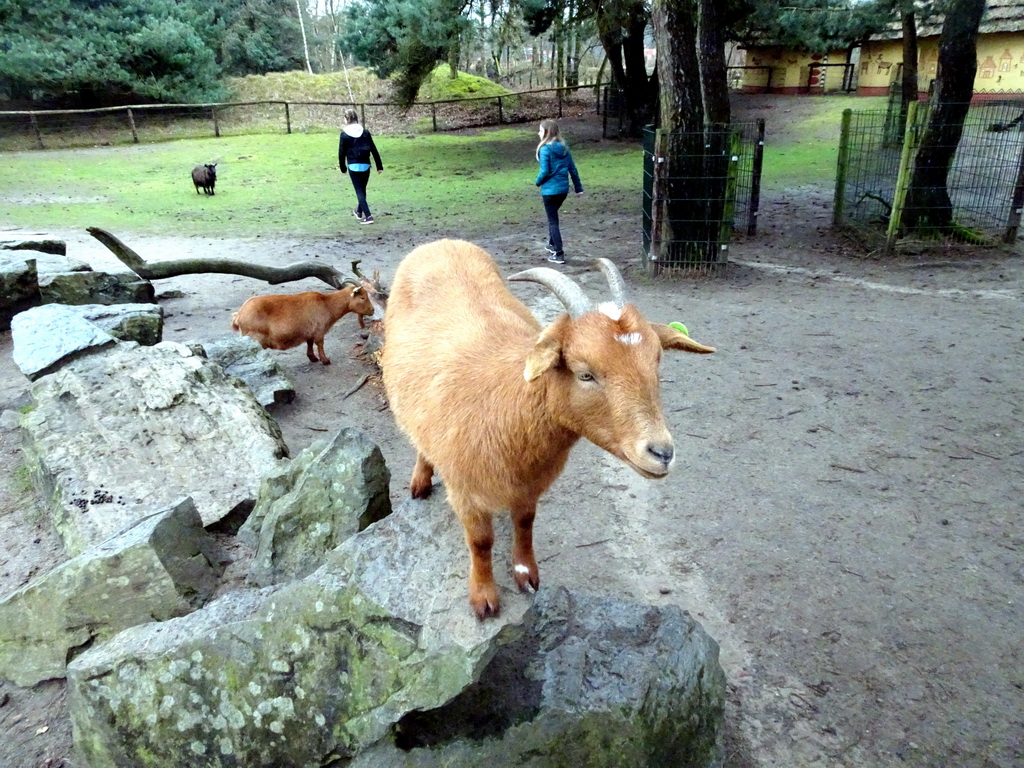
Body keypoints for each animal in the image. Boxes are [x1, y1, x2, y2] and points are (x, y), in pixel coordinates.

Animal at [230, 286, 374, 366]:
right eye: (362, 297)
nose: (372, 310)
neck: (327, 304)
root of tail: (239, 315)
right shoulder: (319, 330)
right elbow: (320, 344)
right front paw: (325, 360)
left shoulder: (310, 330)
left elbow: (309, 343)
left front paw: (313, 358)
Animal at [380, 240, 716, 618]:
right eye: (585, 373)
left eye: (657, 363)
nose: (661, 453)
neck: (508, 408)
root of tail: (440, 243)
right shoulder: (465, 489)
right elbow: (480, 541)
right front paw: (484, 598)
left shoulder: (532, 484)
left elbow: (526, 522)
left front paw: (526, 574)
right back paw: (420, 481)